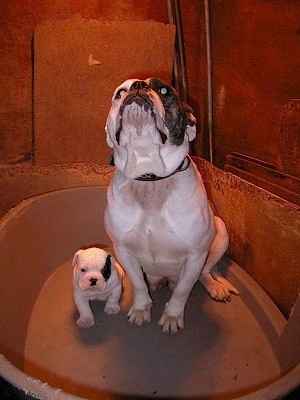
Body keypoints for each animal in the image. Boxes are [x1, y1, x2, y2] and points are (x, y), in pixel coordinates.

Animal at [104, 78, 238, 334]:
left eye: (164, 90)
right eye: (120, 92)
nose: (138, 85)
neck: (151, 178)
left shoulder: (195, 255)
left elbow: (183, 290)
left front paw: (172, 316)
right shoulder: (124, 250)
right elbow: (138, 284)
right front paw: (141, 309)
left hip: (221, 233)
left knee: (206, 272)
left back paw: (216, 287)